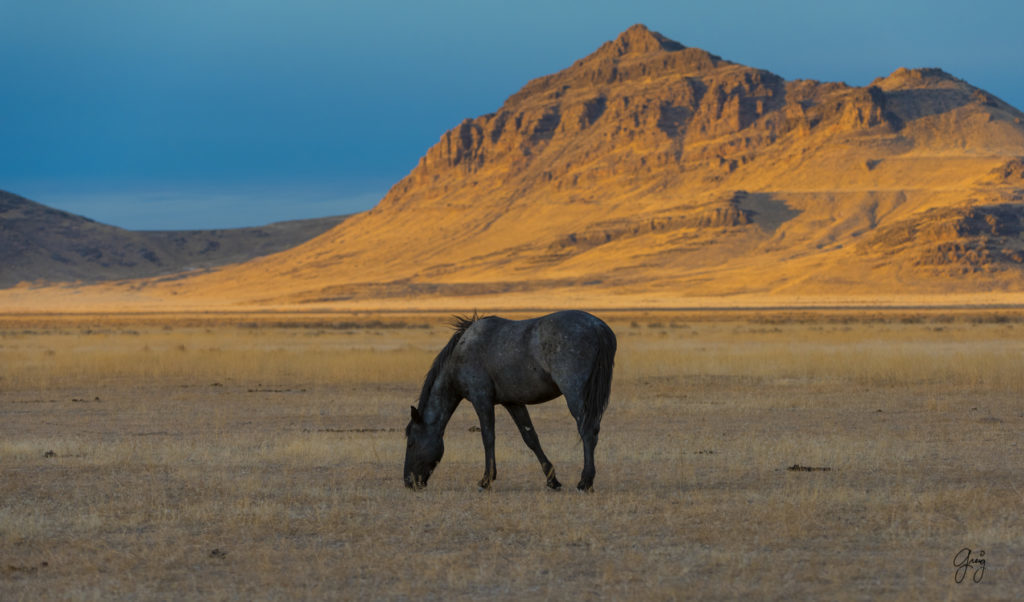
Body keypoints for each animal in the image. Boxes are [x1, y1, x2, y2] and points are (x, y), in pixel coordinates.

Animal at [403, 313, 614, 491]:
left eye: (411, 443)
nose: (408, 482)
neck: (461, 353)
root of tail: (596, 325)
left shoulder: (481, 400)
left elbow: (488, 437)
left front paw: (486, 480)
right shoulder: (513, 403)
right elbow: (530, 438)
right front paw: (552, 479)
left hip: (575, 394)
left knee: (587, 431)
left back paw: (585, 481)